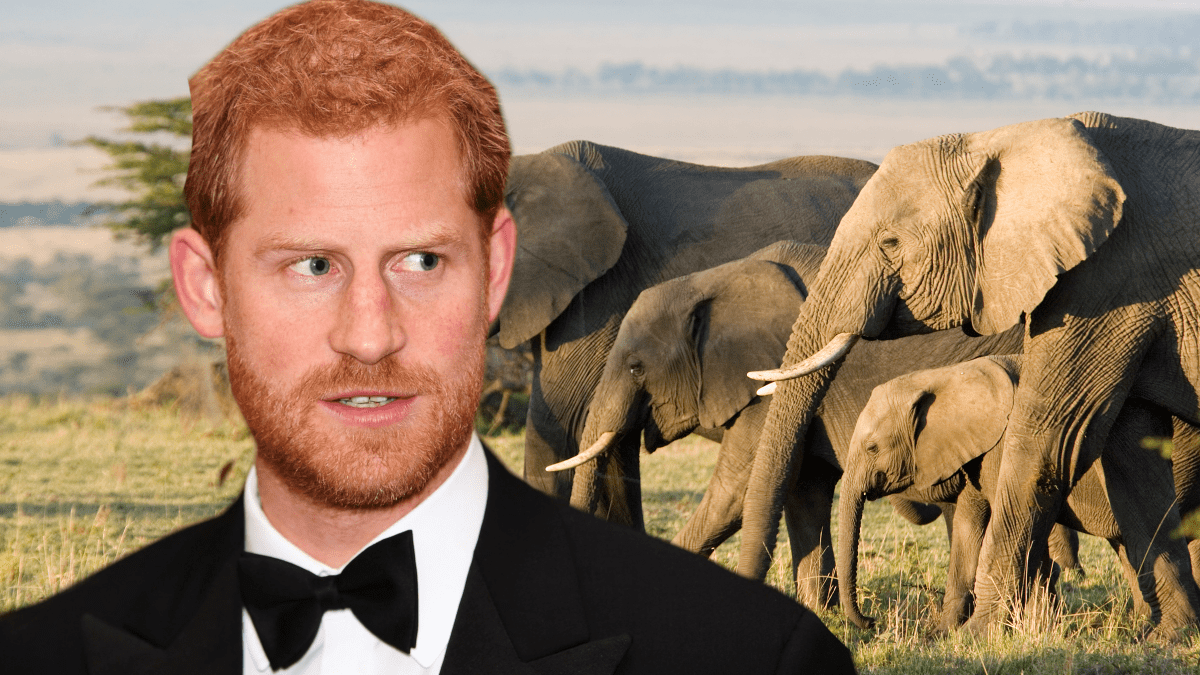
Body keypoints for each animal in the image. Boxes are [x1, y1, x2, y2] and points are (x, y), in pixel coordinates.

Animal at [549, 237, 1027, 605]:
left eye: (636, 368)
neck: (716, 279)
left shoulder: (771, 385)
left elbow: (736, 493)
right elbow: (803, 492)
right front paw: (824, 613)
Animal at [835, 353, 1200, 634]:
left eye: (872, 448)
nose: (871, 621)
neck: (947, 375)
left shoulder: (1006, 445)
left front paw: (1035, 629)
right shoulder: (977, 451)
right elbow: (968, 527)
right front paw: (940, 634)